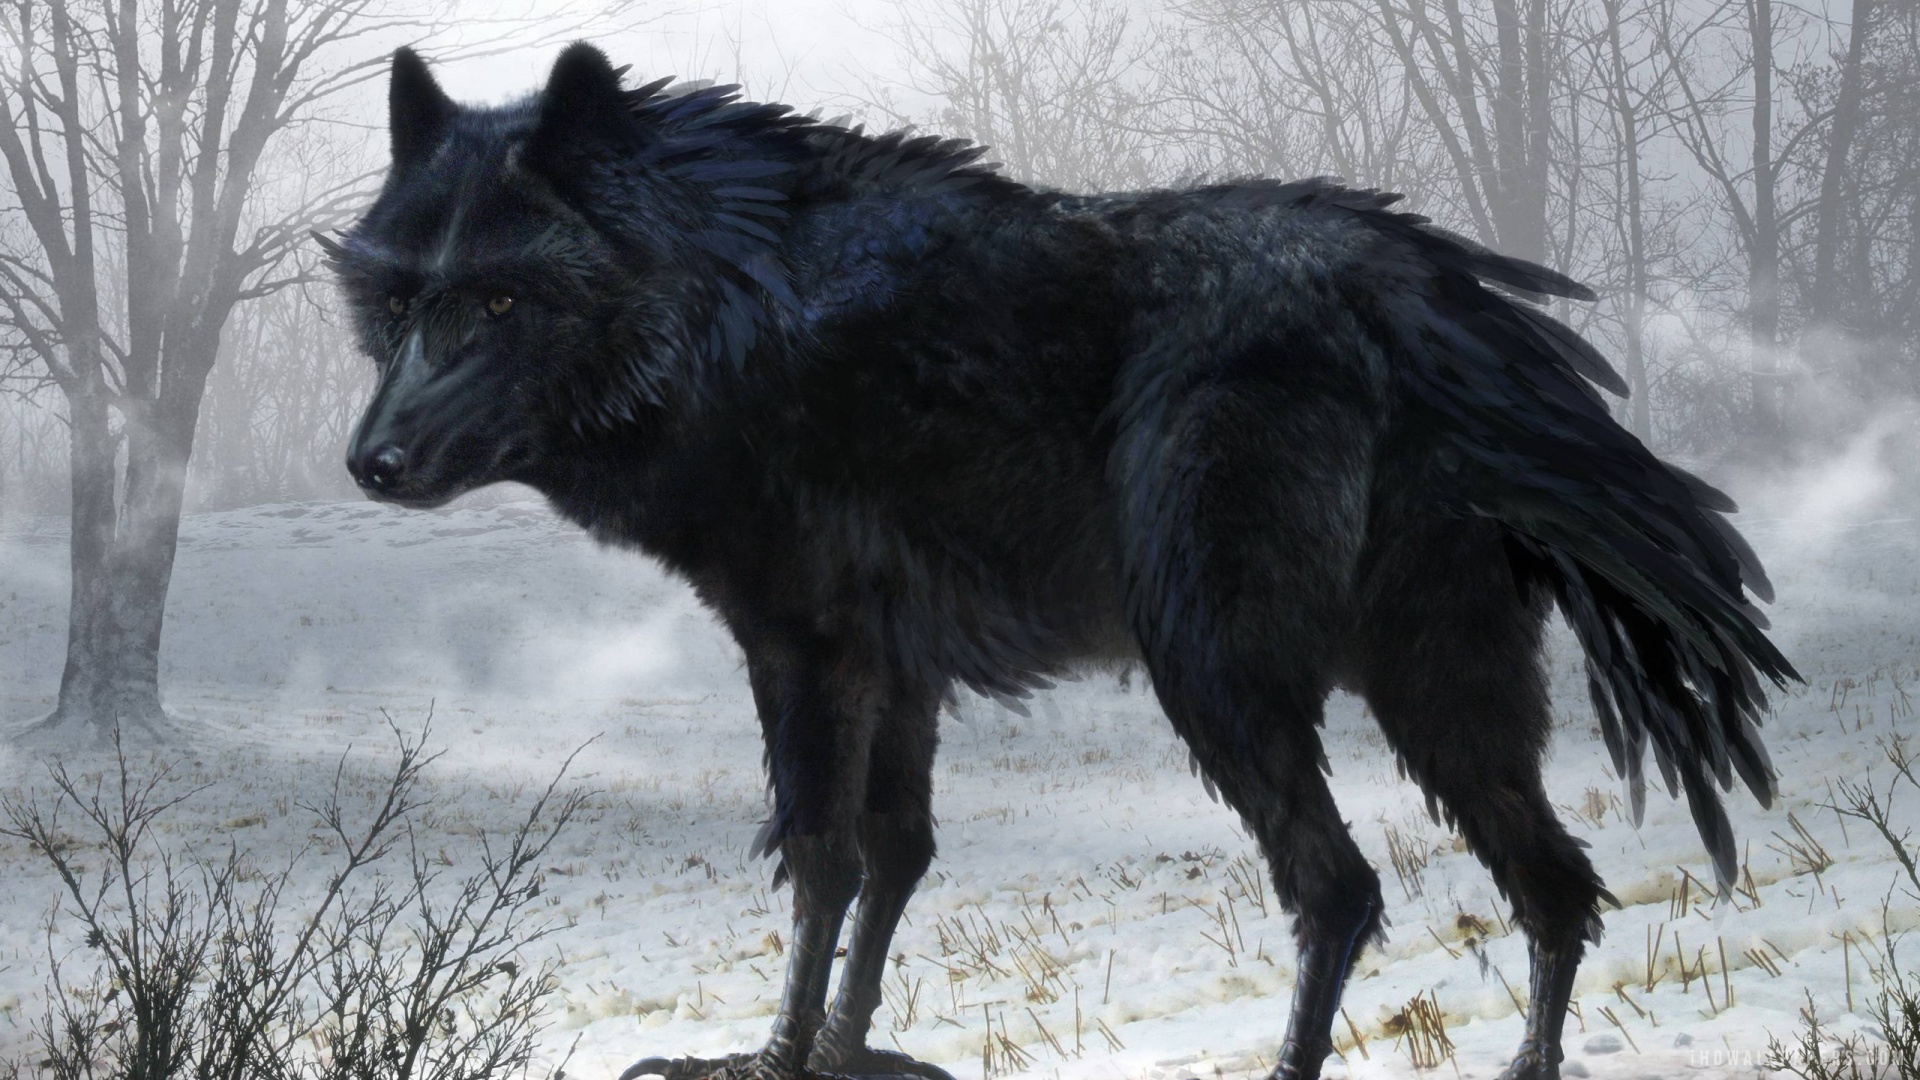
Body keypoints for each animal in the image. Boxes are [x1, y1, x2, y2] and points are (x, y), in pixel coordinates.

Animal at [320, 42, 1797, 1080]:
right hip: (1445, 692)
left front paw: (776, 1056)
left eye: (500, 299)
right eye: (398, 302)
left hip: (1220, 672)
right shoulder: (896, 665)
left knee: (1343, 888)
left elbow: (823, 859)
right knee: (1554, 886)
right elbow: (897, 852)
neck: (730, 306)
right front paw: (845, 1051)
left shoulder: (804, 646)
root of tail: (1422, 297)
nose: (371, 463)